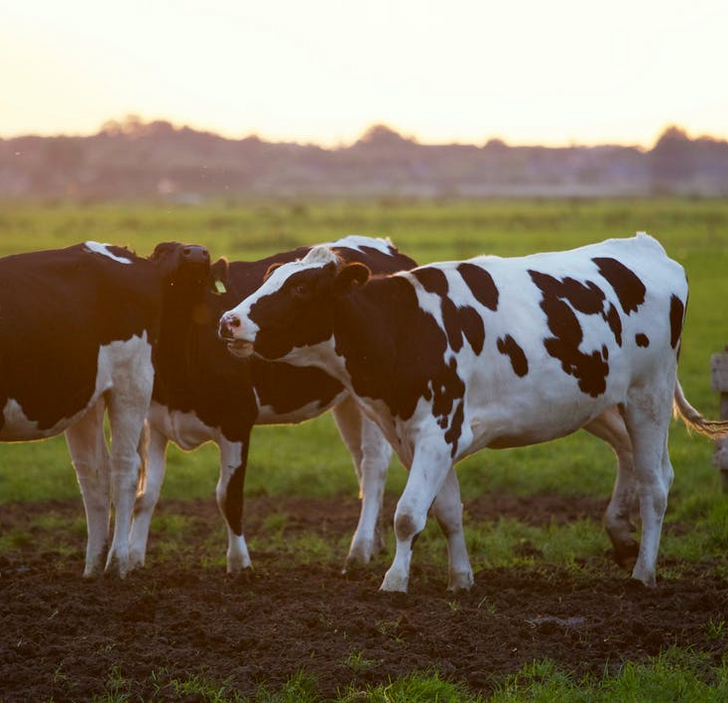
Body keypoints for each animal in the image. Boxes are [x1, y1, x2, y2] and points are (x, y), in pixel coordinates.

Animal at [0, 241, 163, 578]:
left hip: (132, 383)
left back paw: (117, 563)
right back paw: (92, 568)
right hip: (86, 399)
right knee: (94, 474)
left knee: (125, 468)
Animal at [128, 235, 417, 574]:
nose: (197, 253)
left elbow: (229, 497)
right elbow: (145, 495)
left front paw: (239, 564)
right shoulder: (155, 422)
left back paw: (358, 551)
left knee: (373, 466)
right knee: (360, 462)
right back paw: (374, 543)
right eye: (161, 251)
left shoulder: (237, 421)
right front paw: (132, 559)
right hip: (349, 401)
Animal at [219, 232, 728, 592]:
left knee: (656, 484)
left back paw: (644, 572)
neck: (405, 327)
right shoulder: (417, 437)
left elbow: (408, 514)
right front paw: (460, 578)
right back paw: (622, 538)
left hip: (649, 395)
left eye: (301, 287)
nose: (228, 320)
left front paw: (394, 582)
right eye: (269, 278)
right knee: (640, 462)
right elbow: (447, 511)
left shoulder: (437, 431)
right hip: (599, 401)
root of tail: (645, 246)